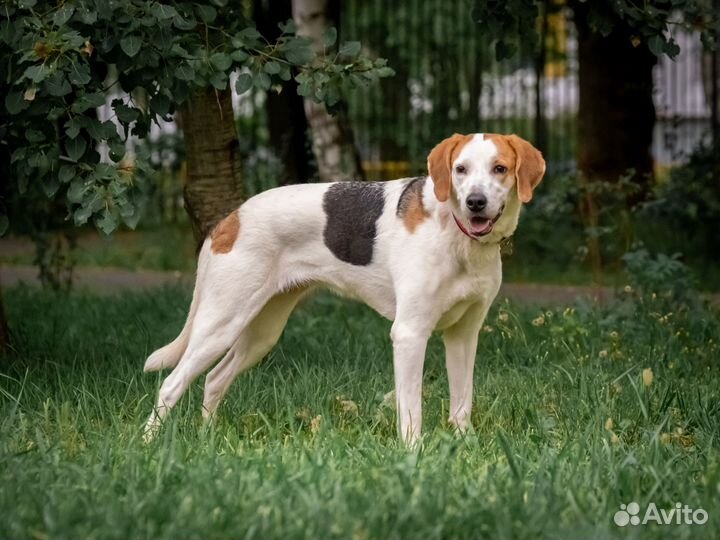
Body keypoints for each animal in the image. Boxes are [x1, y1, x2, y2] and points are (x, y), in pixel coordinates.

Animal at [143, 132, 544, 442]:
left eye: (500, 169)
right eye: (461, 169)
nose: (476, 203)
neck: (459, 237)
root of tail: (230, 219)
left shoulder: (464, 334)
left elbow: (462, 403)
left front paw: (464, 446)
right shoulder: (410, 334)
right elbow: (411, 409)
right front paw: (413, 455)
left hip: (261, 332)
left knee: (214, 379)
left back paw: (207, 437)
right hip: (221, 324)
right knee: (171, 385)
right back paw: (148, 444)